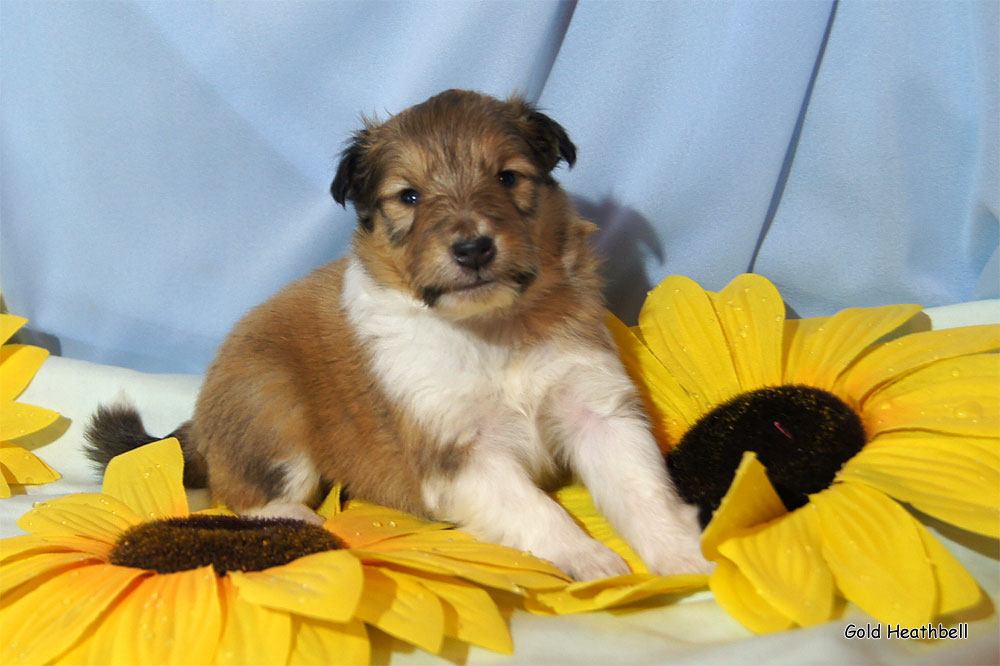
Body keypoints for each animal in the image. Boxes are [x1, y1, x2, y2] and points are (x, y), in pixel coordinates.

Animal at [88, 91, 712, 580]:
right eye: (408, 196)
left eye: (508, 177)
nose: (472, 248)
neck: (492, 328)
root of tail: (199, 421)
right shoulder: (459, 454)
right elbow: (540, 509)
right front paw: (590, 559)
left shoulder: (597, 410)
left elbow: (643, 489)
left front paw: (687, 558)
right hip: (272, 406)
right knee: (242, 493)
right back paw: (303, 521)